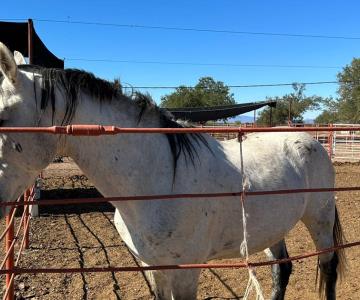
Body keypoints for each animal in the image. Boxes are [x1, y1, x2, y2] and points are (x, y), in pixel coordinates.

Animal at [0, 42, 344, 300]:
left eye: (3, 115)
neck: (158, 180)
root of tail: (307, 140)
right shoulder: (153, 266)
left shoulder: (185, 273)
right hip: (274, 227)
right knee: (281, 270)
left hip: (320, 219)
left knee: (328, 268)